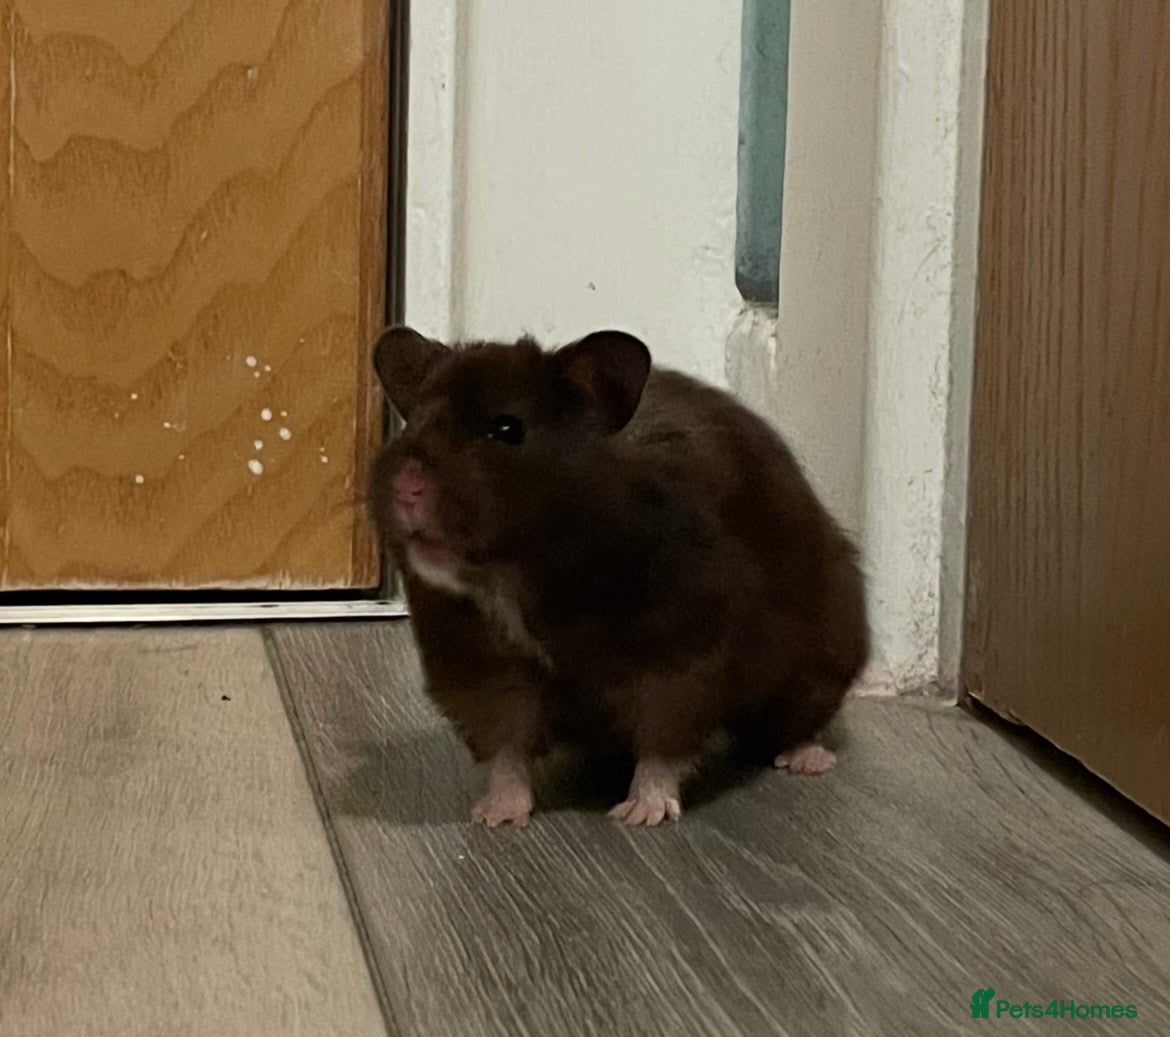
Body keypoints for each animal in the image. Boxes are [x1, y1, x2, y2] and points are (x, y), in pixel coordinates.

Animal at [368, 326, 868, 828]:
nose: (407, 489)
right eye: (413, 423)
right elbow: (506, 745)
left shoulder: (682, 655)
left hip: (815, 664)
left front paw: (639, 814)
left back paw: (808, 760)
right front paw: (494, 816)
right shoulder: (483, 668)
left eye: (508, 429)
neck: (518, 575)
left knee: (792, 724)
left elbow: (662, 742)